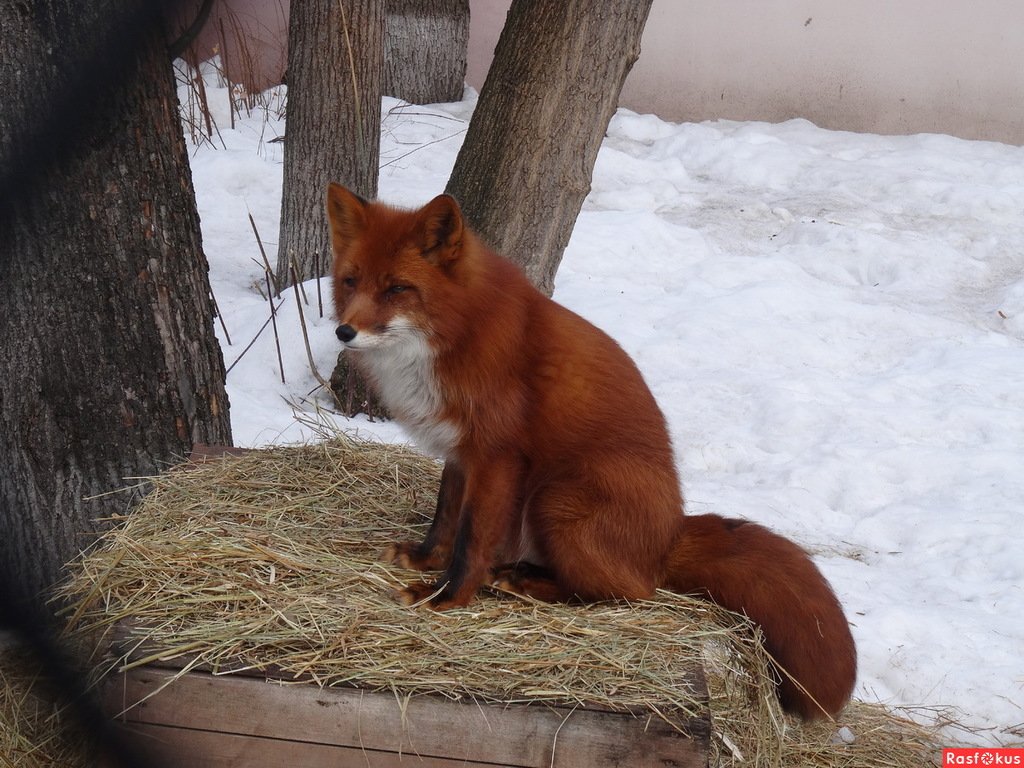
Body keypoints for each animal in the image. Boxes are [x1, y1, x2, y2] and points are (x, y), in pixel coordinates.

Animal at [325, 185, 856, 720]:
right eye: (351, 281)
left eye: (397, 288)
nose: (344, 332)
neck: (456, 333)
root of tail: (669, 537)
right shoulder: (459, 453)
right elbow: (445, 522)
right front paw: (424, 560)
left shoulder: (496, 456)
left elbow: (471, 541)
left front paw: (446, 597)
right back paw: (518, 572)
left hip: (556, 499)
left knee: (626, 593)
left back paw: (522, 583)